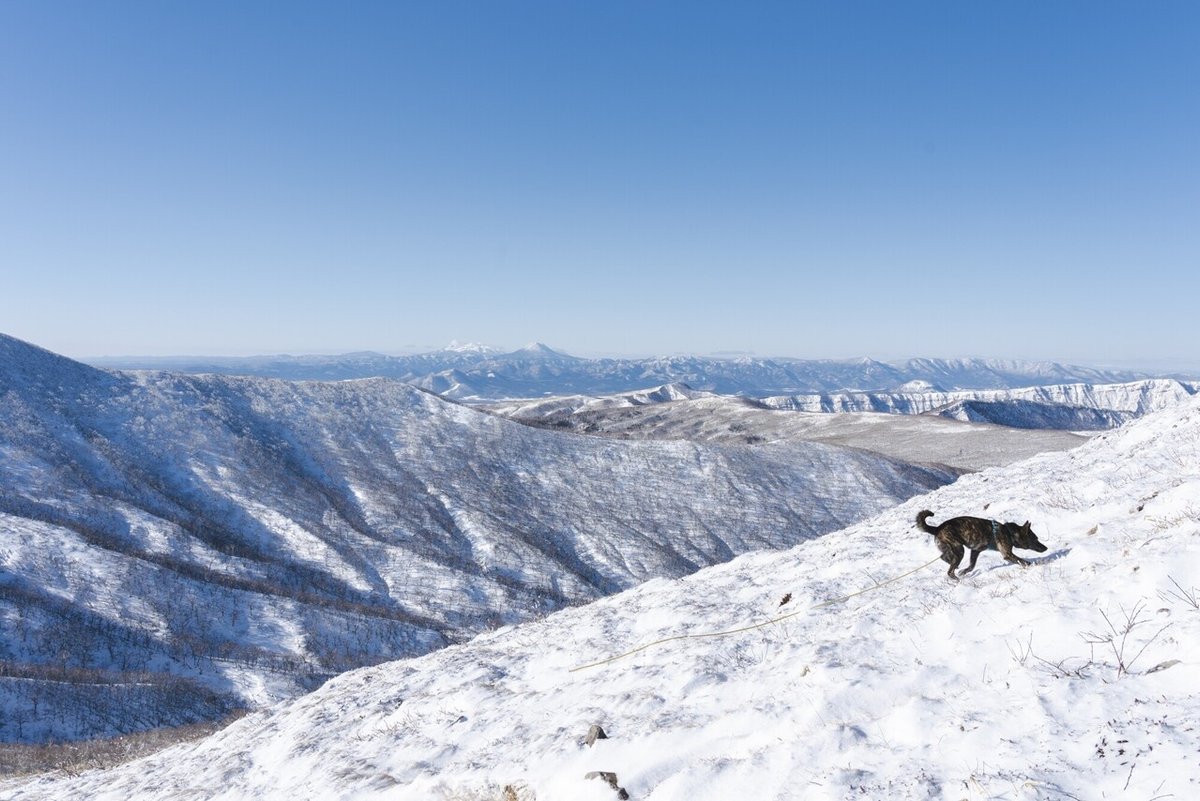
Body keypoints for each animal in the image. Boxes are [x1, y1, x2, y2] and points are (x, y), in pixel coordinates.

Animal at [912, 510, 1046, 577]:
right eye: (1035, 539)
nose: (1046, 548)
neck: (1009, 532)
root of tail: (937, 528)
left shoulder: (975, 551)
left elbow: (972, 566)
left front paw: (964, 572)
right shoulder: (1007, 554)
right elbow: (1022, 560)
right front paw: (1032, 564)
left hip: (953, 549)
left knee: (943, 557)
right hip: (958, 549)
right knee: (949, 571)